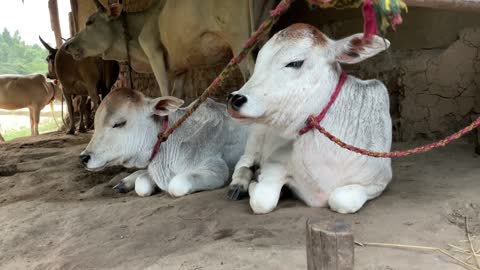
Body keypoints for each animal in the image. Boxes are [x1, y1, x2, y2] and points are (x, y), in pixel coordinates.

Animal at [63, 0, 274, 97]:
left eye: (89, 22)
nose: (66, 46)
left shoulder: (154, 54)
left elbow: (164, 91)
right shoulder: (180, 69)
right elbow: (177, 96)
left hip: (240, 39)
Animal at [227, 24, 392, 215]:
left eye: (295, 63)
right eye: (259, 60)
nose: (234, 99)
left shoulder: (379, 181)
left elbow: (342, 199)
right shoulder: (274, 164)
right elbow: (262, 201)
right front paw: (255, 183)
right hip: (254, 138)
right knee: (243, 162)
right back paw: (238, 184)